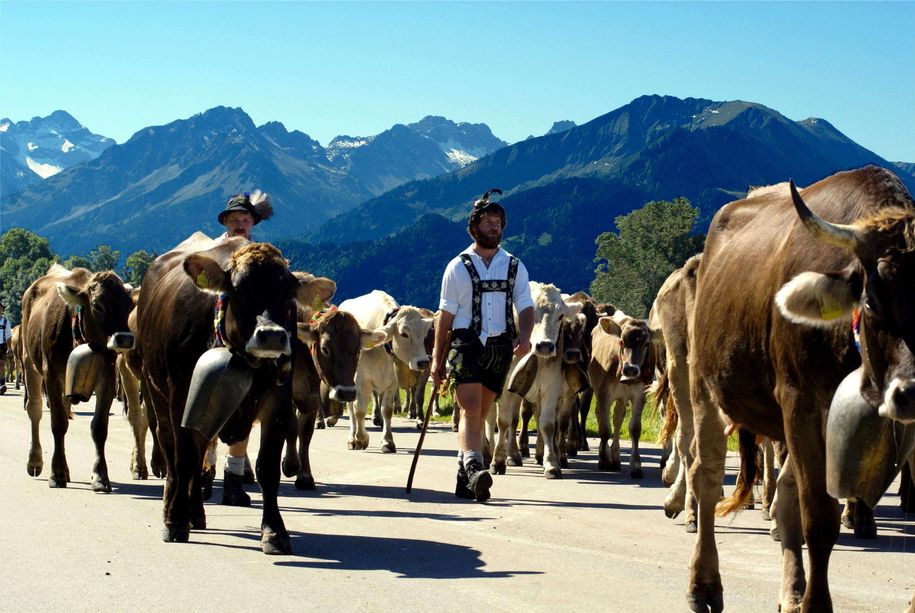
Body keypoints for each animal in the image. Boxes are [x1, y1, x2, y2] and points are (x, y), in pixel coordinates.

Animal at [20, 260, 135, 490]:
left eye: (129, 306)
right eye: (97, 305)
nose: (125, 339)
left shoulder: (108, 377)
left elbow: (99, 427)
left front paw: (100, 476)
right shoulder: (51, 374)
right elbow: (58, 423)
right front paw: (56, 474)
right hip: (30, 362)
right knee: (34, 409)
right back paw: (35, 461)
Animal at [138, 235, 328, 556]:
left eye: (289, 292)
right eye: (238, 290)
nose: (272, 335)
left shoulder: (277, 399)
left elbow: (267, 467)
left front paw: (274, 531)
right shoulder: (182, 394)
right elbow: (184, 458)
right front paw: (176, 522)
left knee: (200, 452)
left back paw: (196, 512)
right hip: (158, 394)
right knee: (172, 450)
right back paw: (173, 508)